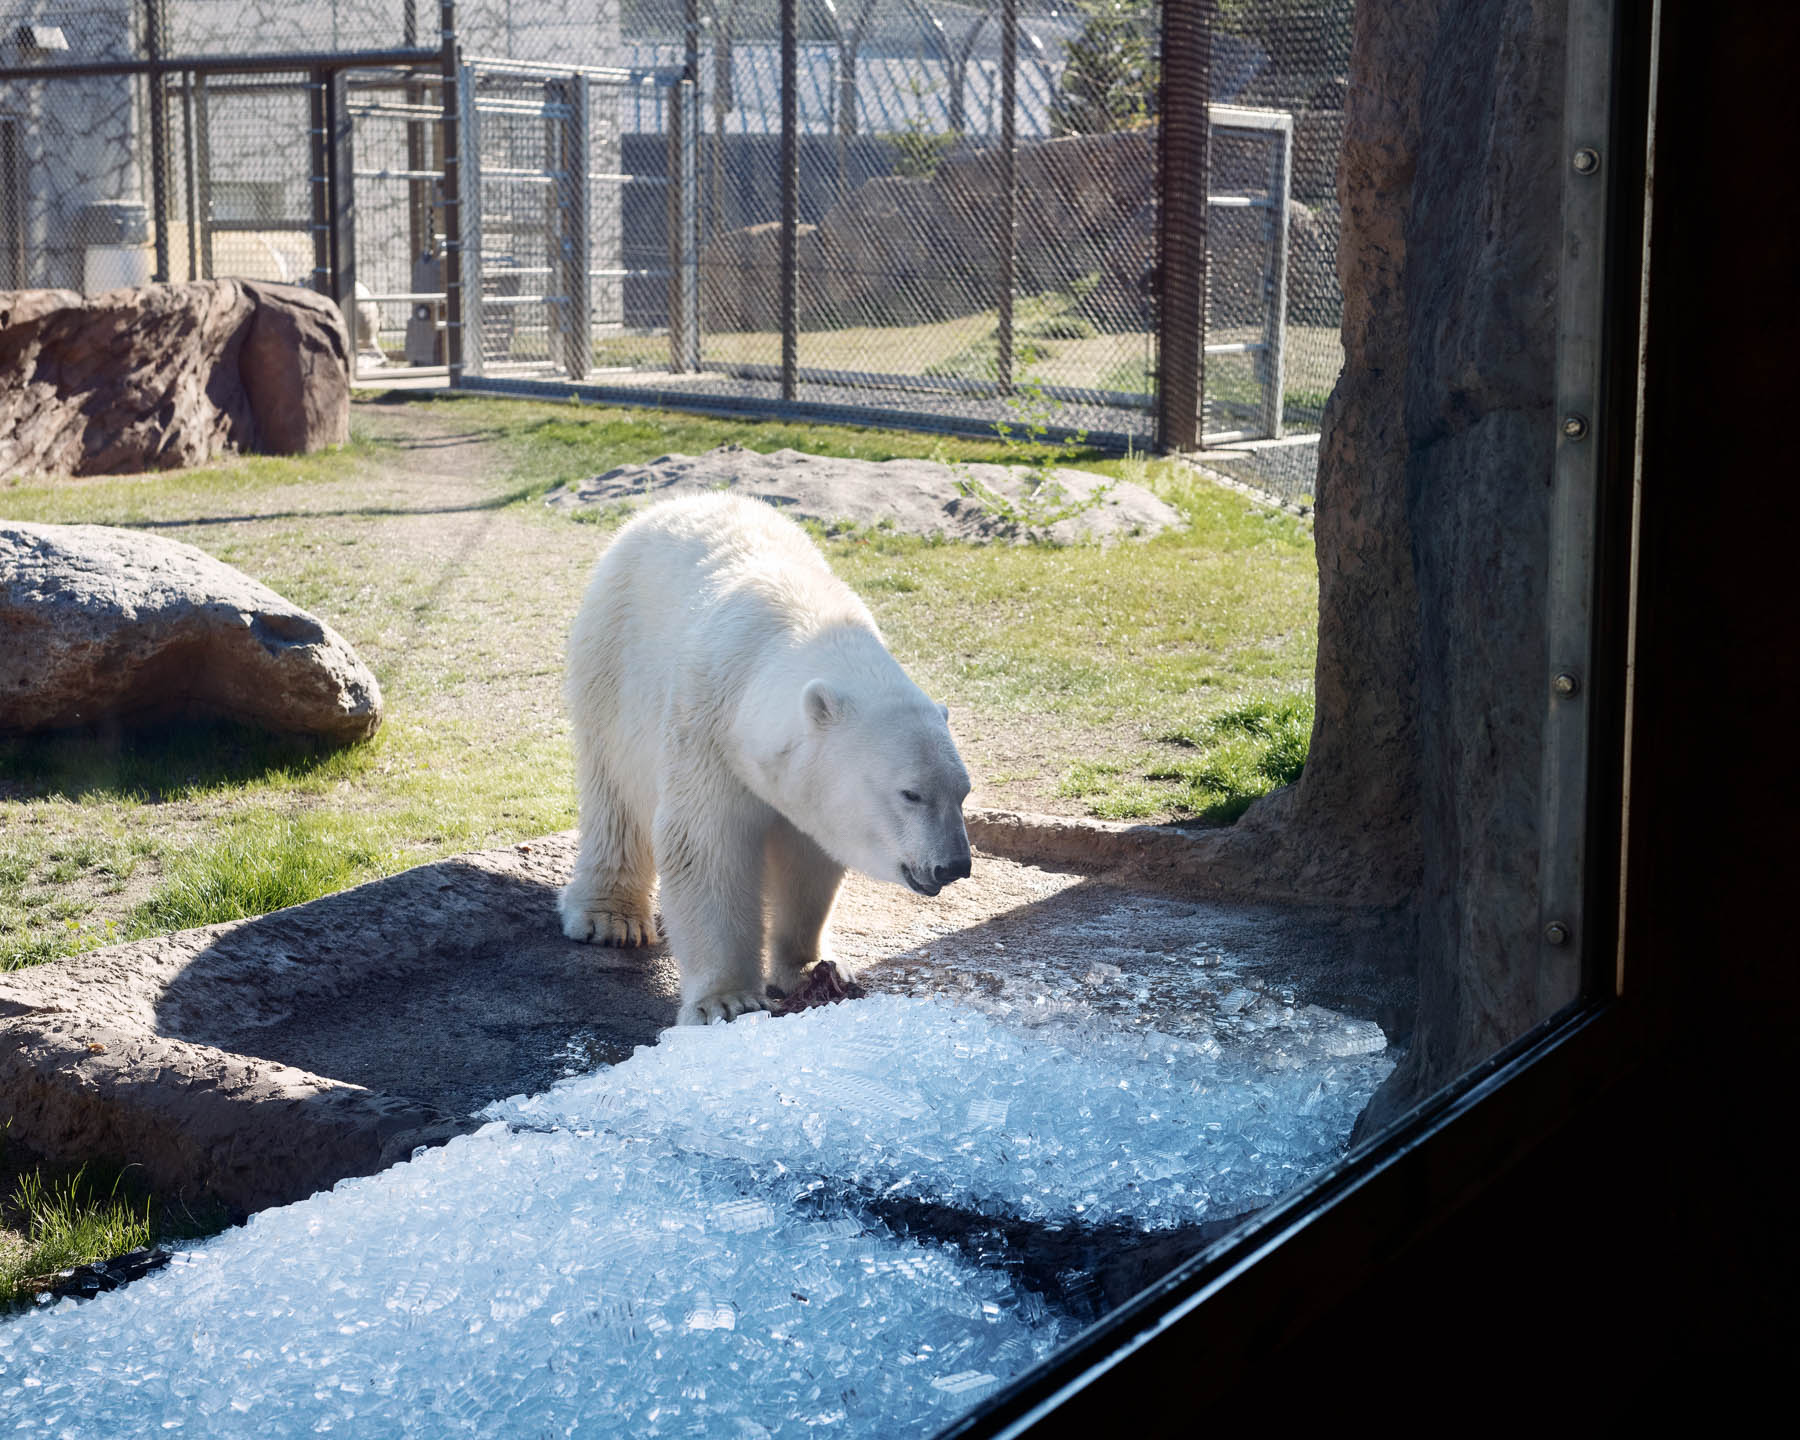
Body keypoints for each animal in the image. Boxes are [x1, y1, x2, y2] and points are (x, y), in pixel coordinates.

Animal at [558, 493, 972, 1022]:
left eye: (963, 793)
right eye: (911, 794)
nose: (953, 865)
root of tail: (671, 505)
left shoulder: (803, 783)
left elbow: (808, 859)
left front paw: (814, 967)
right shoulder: (708, 731)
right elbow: (705, 845)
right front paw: (727, 1000)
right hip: (613, 661)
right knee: (616, 793)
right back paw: (610, 918)